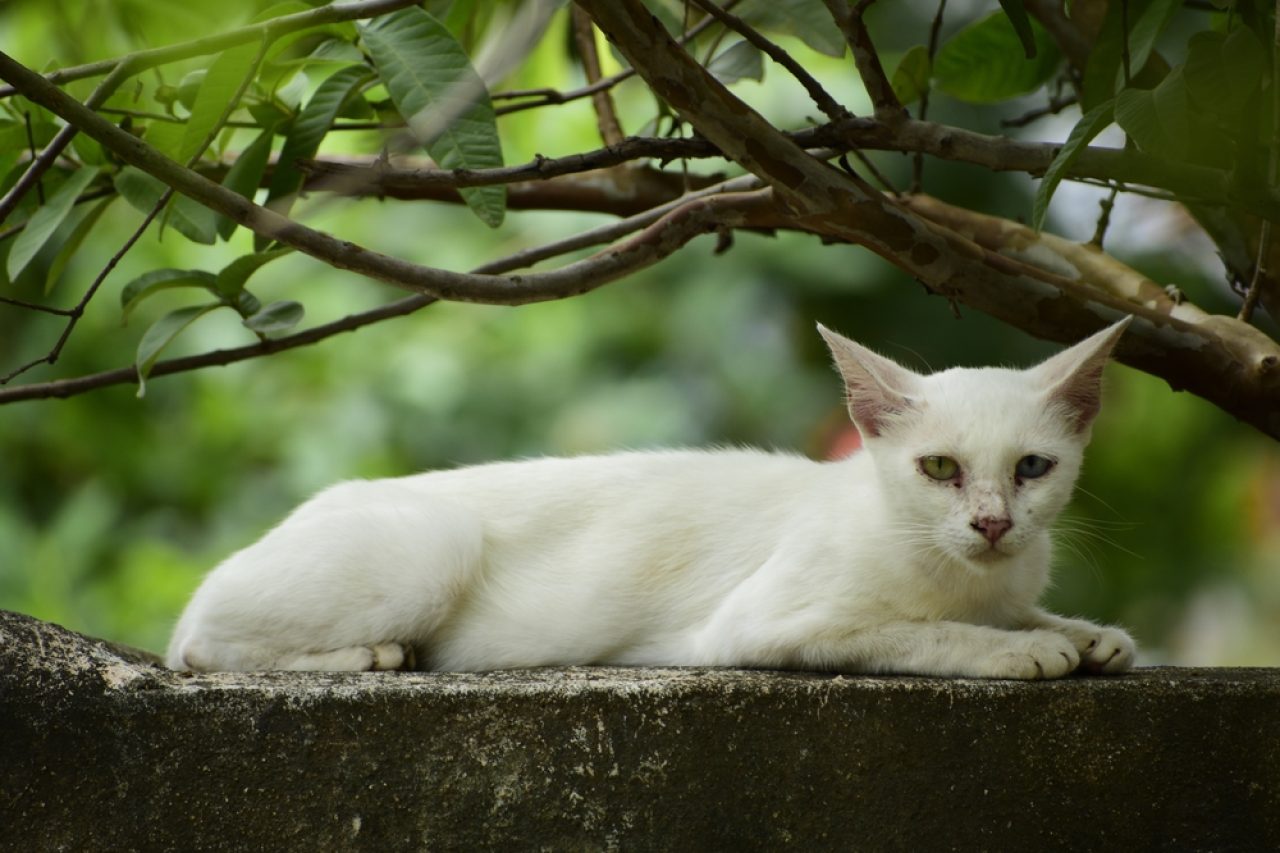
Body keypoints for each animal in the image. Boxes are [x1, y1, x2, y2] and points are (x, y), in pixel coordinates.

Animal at [167, 318, 1141, 676]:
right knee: (201, 650)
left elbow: (1027, 612)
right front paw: (1022, 649)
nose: (992, 522)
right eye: (939, 468)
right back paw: (368, 657)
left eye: (1032, 468)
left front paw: (1084, 632)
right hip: (428, 546)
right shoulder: (762, 624)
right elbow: (915, 631)